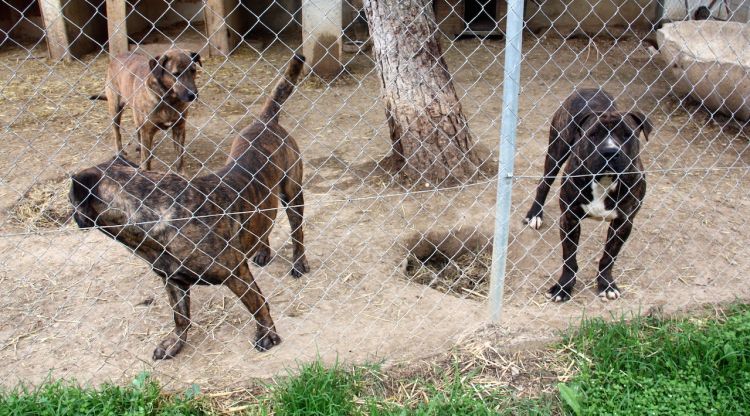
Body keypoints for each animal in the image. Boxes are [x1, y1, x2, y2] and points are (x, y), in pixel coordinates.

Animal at [72, 54, 312, 360]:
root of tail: (265, 120)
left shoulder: (237, 275)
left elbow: (257, 304)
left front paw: (267, 334)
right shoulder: (173, 282)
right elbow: (180, 317)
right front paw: (174, 342)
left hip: (292, 193)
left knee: (297, 232)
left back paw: (299, 262)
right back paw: (262, 251)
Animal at [524, 88, 652, 302]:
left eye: (627, 134)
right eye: (593, 134)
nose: (610, 152)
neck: (604, 180)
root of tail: (590, 88)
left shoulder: (623, 222)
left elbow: (609, 257)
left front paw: (606, 284)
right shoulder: (569, 218)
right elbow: (569, 257)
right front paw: (563, 287)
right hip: (556, 150)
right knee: (544, 184)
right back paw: (534, 215)